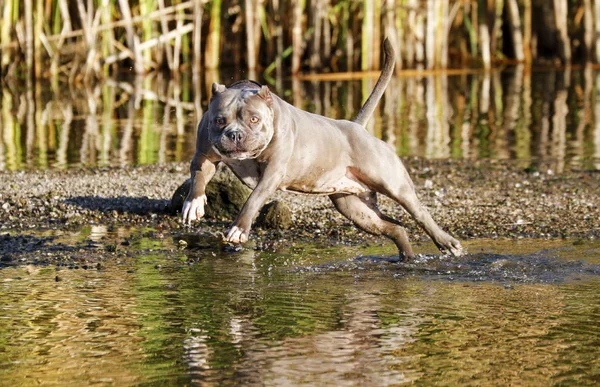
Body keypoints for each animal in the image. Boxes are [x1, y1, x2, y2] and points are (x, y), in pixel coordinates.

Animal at [180, 39, 462, 260]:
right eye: (220, 120)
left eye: (254, 120)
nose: (235, 134)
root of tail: (357, 127)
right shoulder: (204, 156)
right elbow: (198, 177)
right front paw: (193, 204)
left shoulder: (272, 174)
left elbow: (253, 199)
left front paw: (239, 229)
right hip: (355, 209)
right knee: (395, 227)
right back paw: (407, 258)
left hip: (394, 185)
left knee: (420, 213)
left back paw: (447, 243)